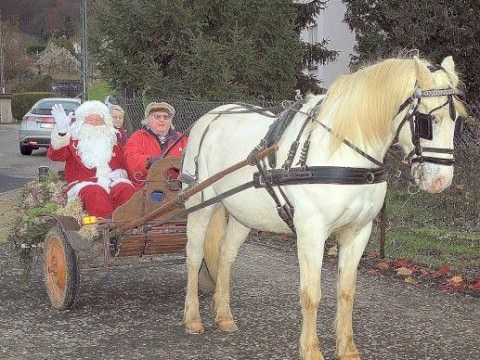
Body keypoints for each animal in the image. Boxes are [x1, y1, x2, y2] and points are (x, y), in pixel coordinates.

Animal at [179, 56, 464, 360]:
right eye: (427, 121)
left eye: (457, 120)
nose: (441, 181)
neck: (342, 155)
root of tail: (212, 115)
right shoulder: (311, 232)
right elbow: (311, 294)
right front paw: (311, 349)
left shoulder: (358, 232)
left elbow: (347, 291)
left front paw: (348, 348)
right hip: (200, 204)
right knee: (194, 257)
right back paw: (193, 318)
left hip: (242, 215)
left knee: (226, 257)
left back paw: (224, 316)